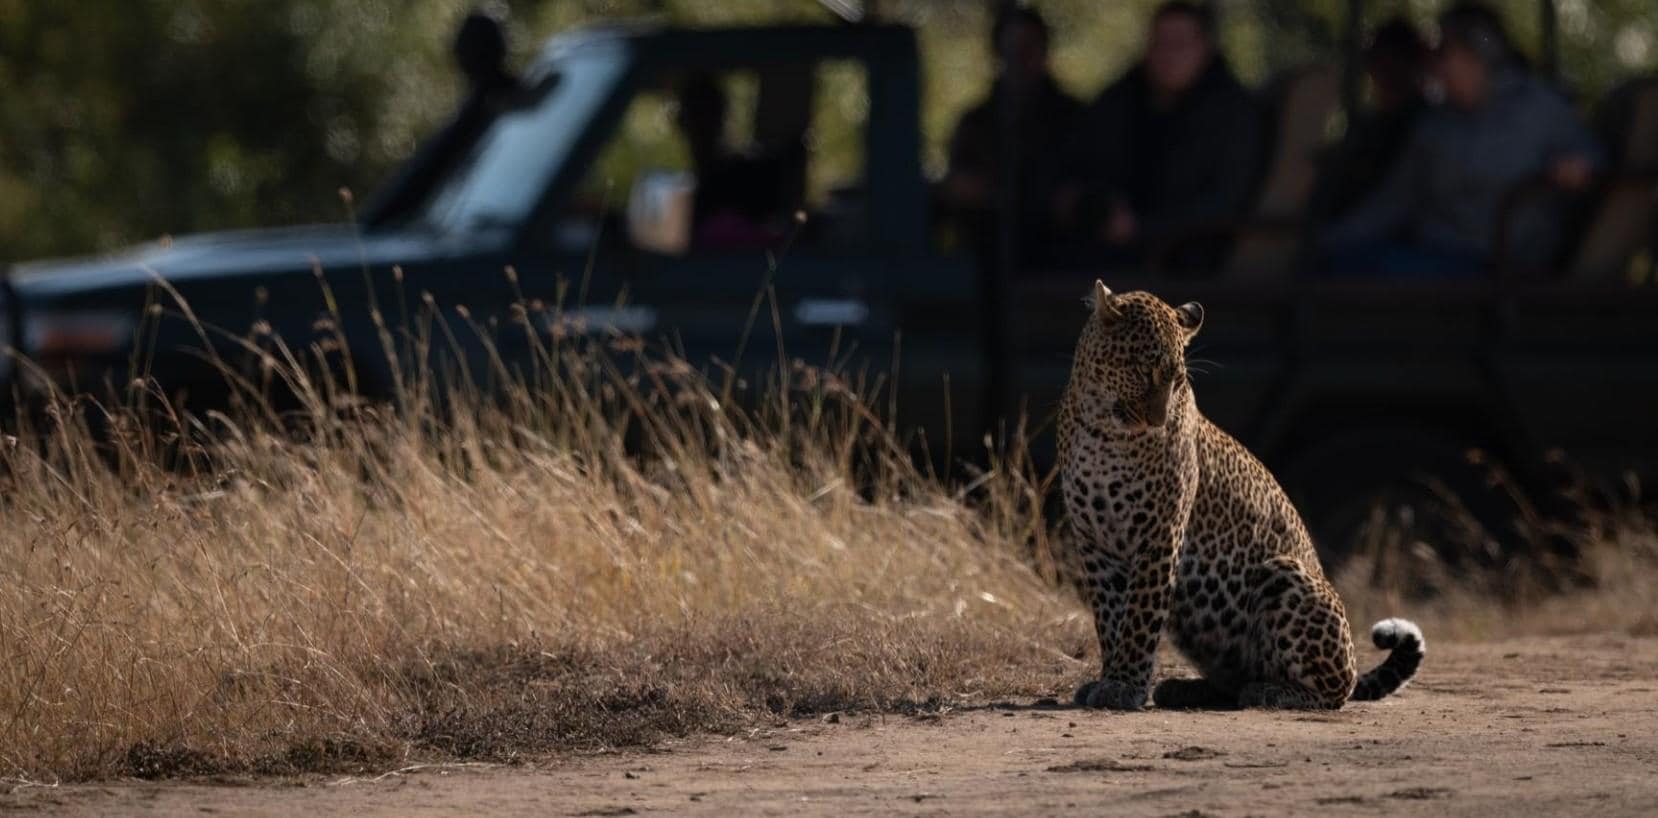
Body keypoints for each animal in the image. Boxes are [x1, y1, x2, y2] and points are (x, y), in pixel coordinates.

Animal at [1057, 281, 1424, 710]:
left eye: (1177, 381)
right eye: (1143, 370)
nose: (1158, 421)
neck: (1103, 429)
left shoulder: (1160, 533)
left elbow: (1139, 617)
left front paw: (1124, 685)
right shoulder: (1094, 543)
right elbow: (1110, 618)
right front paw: (1110, 679)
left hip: (1282, 573)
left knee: (1334, 693)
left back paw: (1269, 691)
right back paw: (1186, 688)